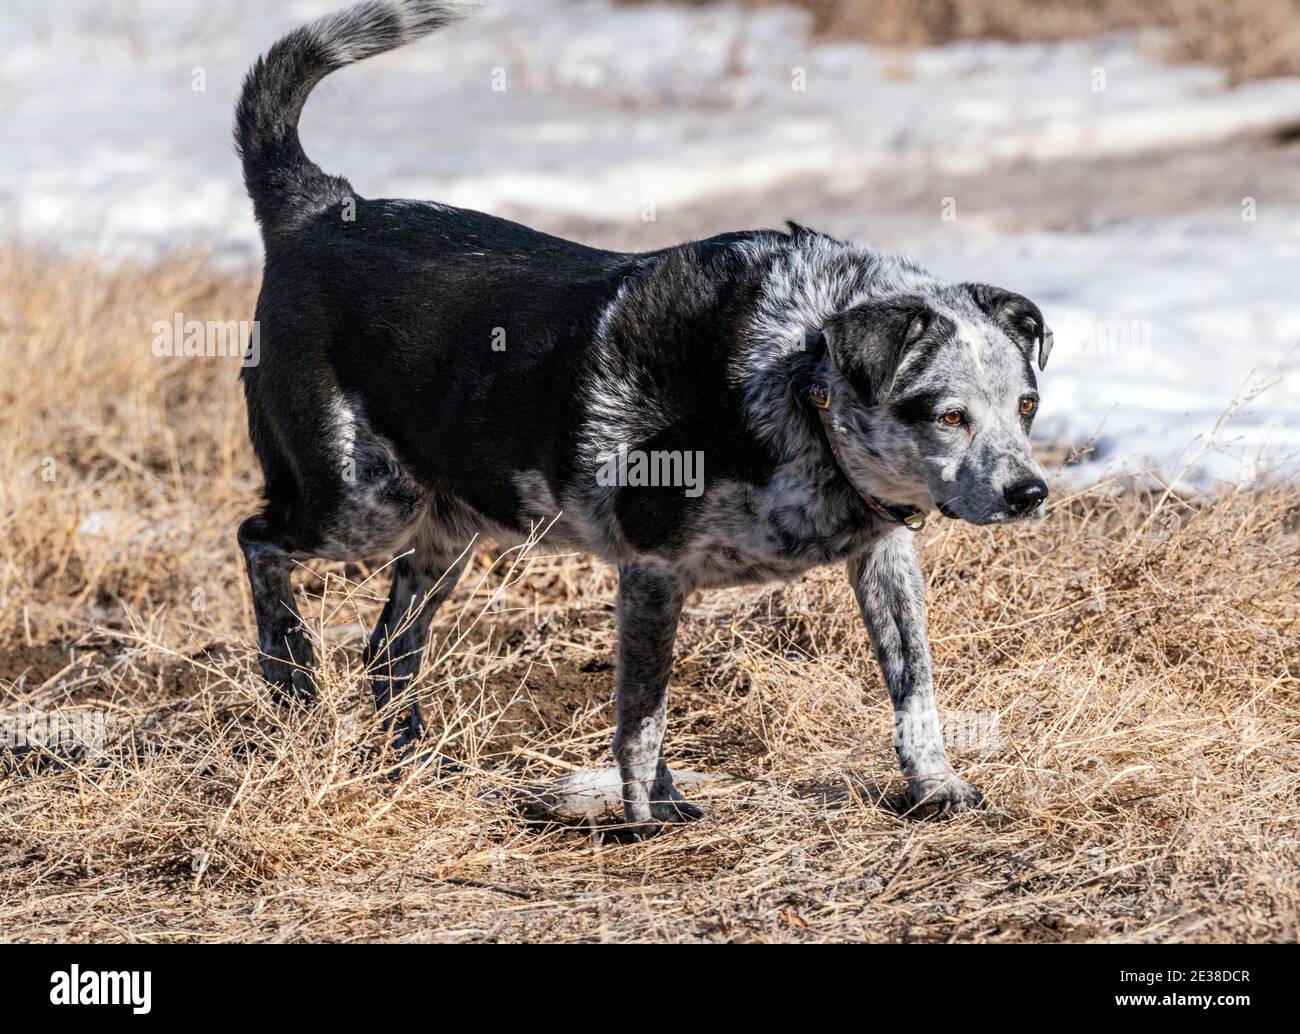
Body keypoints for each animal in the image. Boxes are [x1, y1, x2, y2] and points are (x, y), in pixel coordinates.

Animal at [231, 0, 1045, 837]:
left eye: (1027, 405)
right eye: (947, 415)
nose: (1030, 495)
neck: (801, 374)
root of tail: (317, 207)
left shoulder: (882, 556)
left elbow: (914, 687)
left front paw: (935, 785)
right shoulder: (653, 572)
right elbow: (642, 719)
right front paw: (645, 815)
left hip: (446, 532)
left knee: (387, 649)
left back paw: (405, 753)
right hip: (363, 504)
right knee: (259, 541)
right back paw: (291, 673)